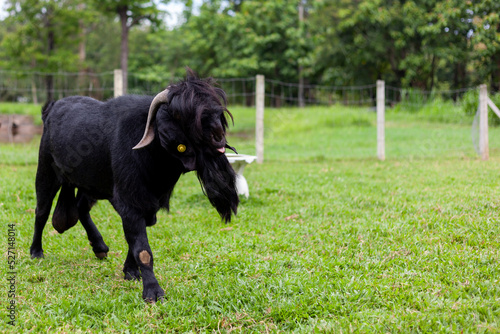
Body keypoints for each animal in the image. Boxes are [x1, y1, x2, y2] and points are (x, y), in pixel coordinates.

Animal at [29, 69, 240, 302]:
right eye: (181, 115)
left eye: (217, 112)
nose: (218, 136)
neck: (153, 158)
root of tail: (50, 108)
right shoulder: (129, 199)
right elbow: (142, 249)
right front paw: (153, 292)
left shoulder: (148, 203)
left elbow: (135, 239)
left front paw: (130, 272)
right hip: (46, 171)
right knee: (41, 211)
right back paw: (36, 252)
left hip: (90, 182)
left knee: (81, 207)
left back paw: (99, 247)